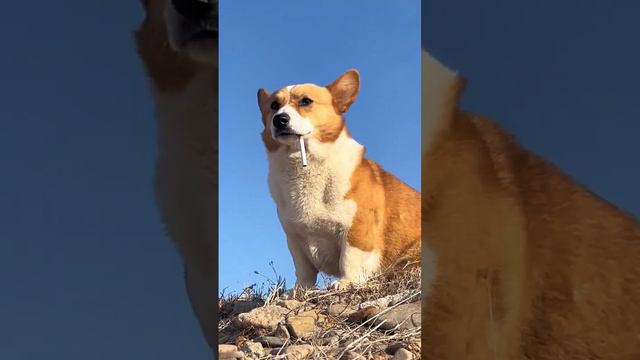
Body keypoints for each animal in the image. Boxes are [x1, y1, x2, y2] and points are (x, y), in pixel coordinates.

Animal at [258, 70, 422, 290]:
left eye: (306, 101)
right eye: (274, 105)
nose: (279, 120)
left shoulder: (356, 228)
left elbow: (349, 258)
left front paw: (346, 282)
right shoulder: (294, 238)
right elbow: (303, 271)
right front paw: (299, 291)